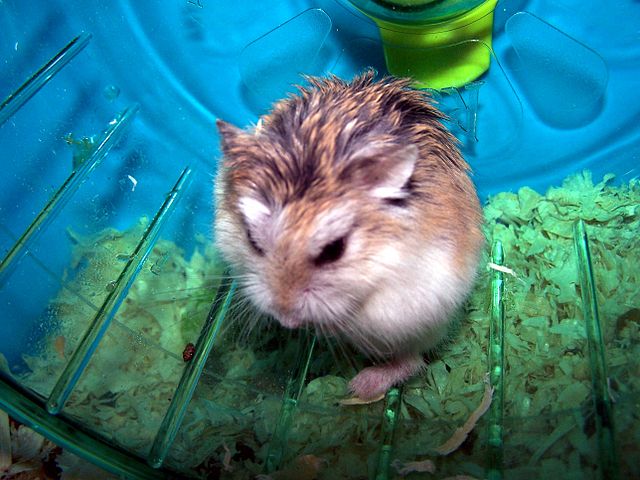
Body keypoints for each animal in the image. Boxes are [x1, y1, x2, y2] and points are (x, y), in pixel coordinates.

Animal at [214, 71, 484, 400]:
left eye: (334, 250)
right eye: (252, 240)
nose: (286, 319)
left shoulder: (409, 297)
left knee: (412, 361)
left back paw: (360, 387)